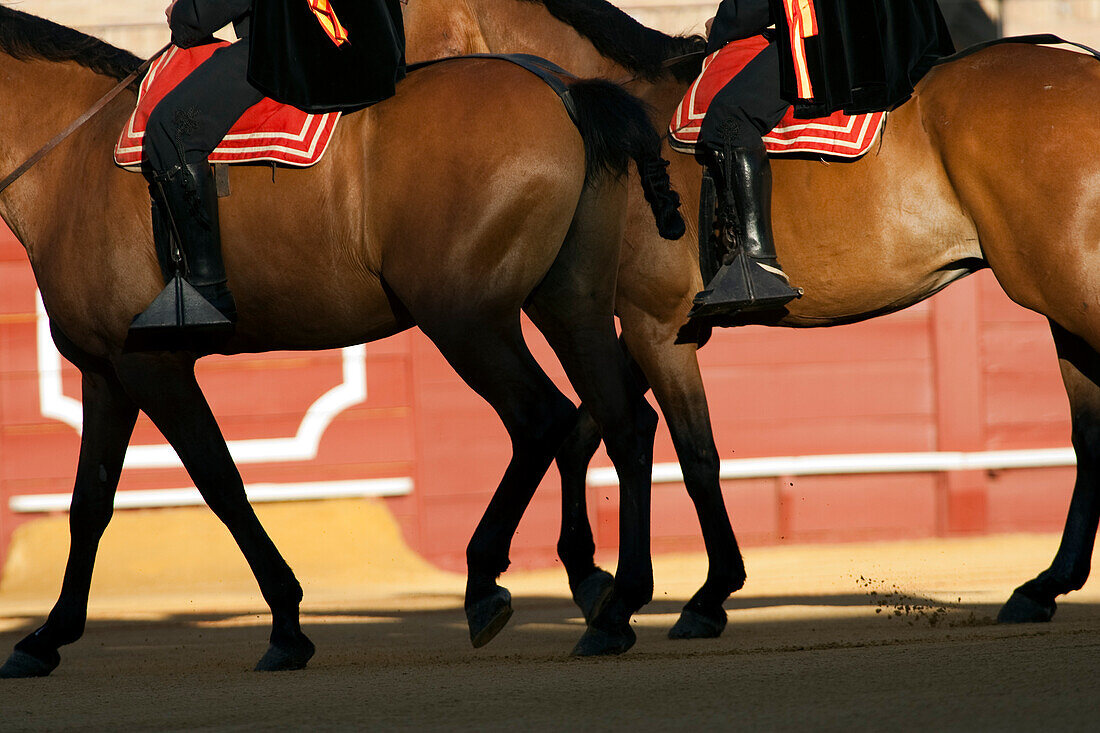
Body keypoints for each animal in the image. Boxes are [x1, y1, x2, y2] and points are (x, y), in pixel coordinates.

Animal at [0, 7, 686, 677]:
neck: (71, 160)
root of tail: (562, 90)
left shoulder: (152, 367)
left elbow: (220, 483)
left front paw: (286, 624)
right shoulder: (106, 373)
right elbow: (89, 502)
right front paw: (45, 637)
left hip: (466, 321)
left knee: (542, 419)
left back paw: (487, 584)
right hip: (571, 305)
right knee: (623, 422)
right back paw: (616, 607)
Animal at [409, 0, 1100, 638]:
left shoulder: (654, 324)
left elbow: (691, 451)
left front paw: (699, 595)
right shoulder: (652, 327)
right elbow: (591, 432)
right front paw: (593, 578)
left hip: (1069, 293)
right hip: (1062, 306)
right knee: (1087, 436)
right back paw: (1043, 586)